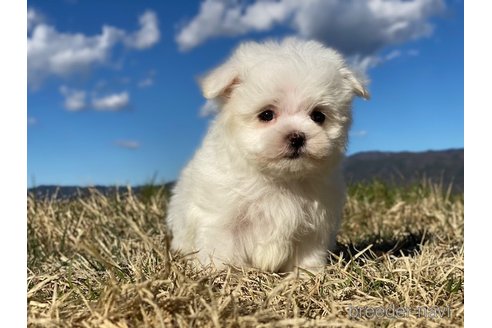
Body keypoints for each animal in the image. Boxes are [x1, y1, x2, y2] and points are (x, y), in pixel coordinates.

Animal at [166, 37, 368, 274]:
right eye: (266, 114)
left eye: (318, 116)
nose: (297, 137)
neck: (280, 179)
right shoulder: (222, 220)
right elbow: (222, 253)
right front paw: (221, 275)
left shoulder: (314, 226)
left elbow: (308, 254)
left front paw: (305, 276)